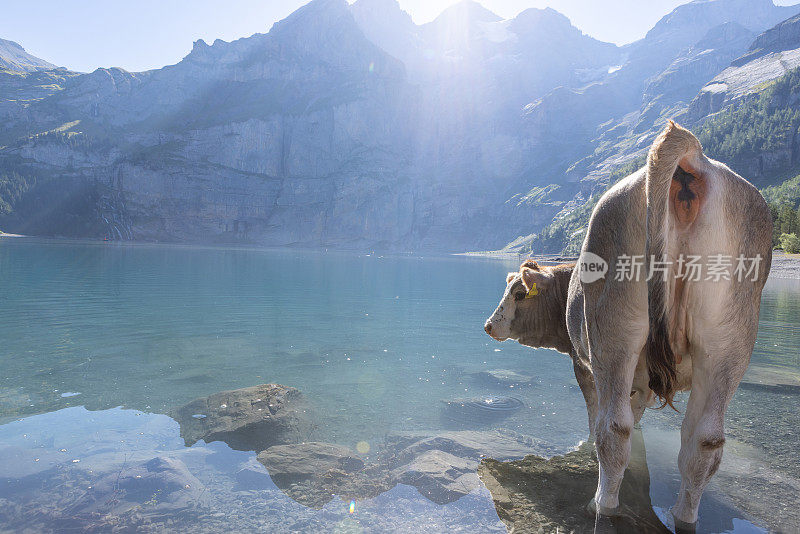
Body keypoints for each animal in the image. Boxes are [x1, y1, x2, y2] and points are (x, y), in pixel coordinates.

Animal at [484, 122, 772, 532]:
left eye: (519, 293)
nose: (489, 325)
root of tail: (690, 152)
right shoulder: (643, 382)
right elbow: (637, 423)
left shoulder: (583, 364)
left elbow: (600, 420)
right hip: (728, 340)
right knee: (702, 443)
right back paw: (683, 516)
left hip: (614, 331)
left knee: (612, 429)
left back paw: (602, 506)